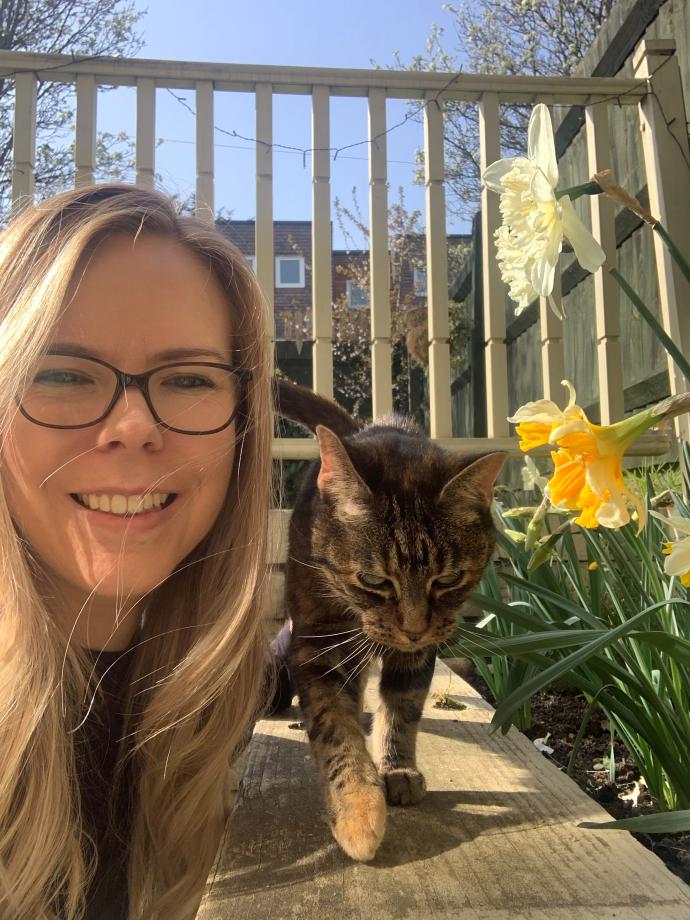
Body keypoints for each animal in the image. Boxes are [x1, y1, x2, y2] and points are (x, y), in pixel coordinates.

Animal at [274, 380, 506, 864]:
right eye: (374, 580)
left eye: (448, 579)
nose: (413, 628)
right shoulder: (315, 643)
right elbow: (334, 727)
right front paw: (358, 809)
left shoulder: (418, 653)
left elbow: (403, 706)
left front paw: (396, 767)